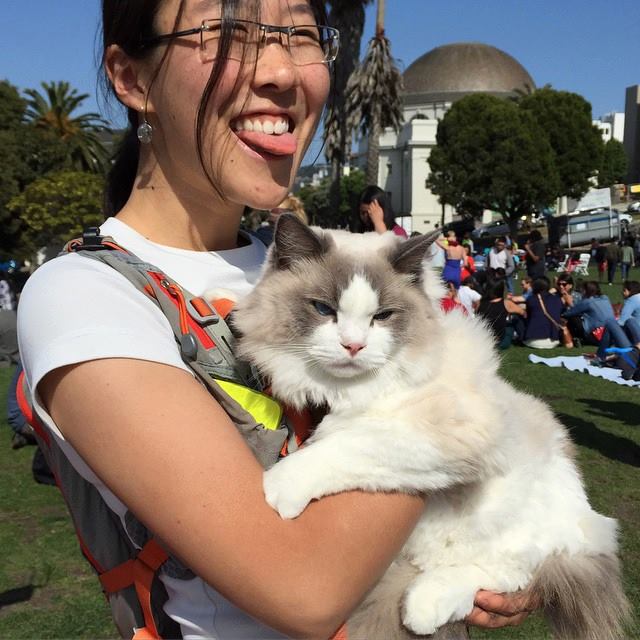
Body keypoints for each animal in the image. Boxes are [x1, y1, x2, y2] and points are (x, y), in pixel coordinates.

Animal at [231, 216, 632, 640]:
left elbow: (348, 444)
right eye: (323, 309)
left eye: (382, 316)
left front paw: (280, 488)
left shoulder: (447, 432)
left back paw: (424, 606)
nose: (353, 346)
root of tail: (594, 530)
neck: (342, 393)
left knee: (514, 572)